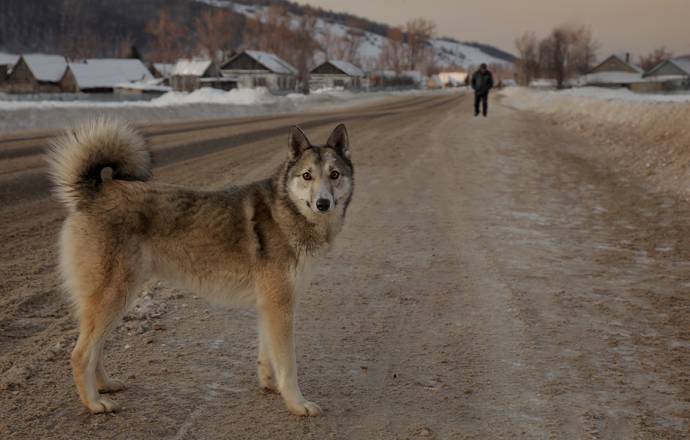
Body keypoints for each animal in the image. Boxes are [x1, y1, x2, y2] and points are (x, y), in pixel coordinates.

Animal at [47, 117, 354, 416]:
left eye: (334, 175)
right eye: (307, 176)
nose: (323, 203)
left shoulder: (270, 307)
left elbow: (268, 357)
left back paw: (105, 386)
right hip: (115, 298)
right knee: (80, 355)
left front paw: (271, 386)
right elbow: (288, 366)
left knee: (94, 350)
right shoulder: (279, 307)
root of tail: (96, 192)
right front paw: (297, 404)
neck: (287, 211)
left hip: (115, 301)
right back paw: (94, 403)